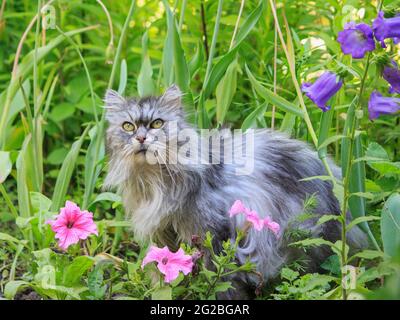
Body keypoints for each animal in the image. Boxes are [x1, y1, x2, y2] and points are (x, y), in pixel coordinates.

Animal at [104, 85, 368, 300]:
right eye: (128, 126)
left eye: (157, 123)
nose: (140, 138)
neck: (156, 180)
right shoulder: (162, 235)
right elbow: (163, 273)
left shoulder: (211, 233)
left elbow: (219, 277)